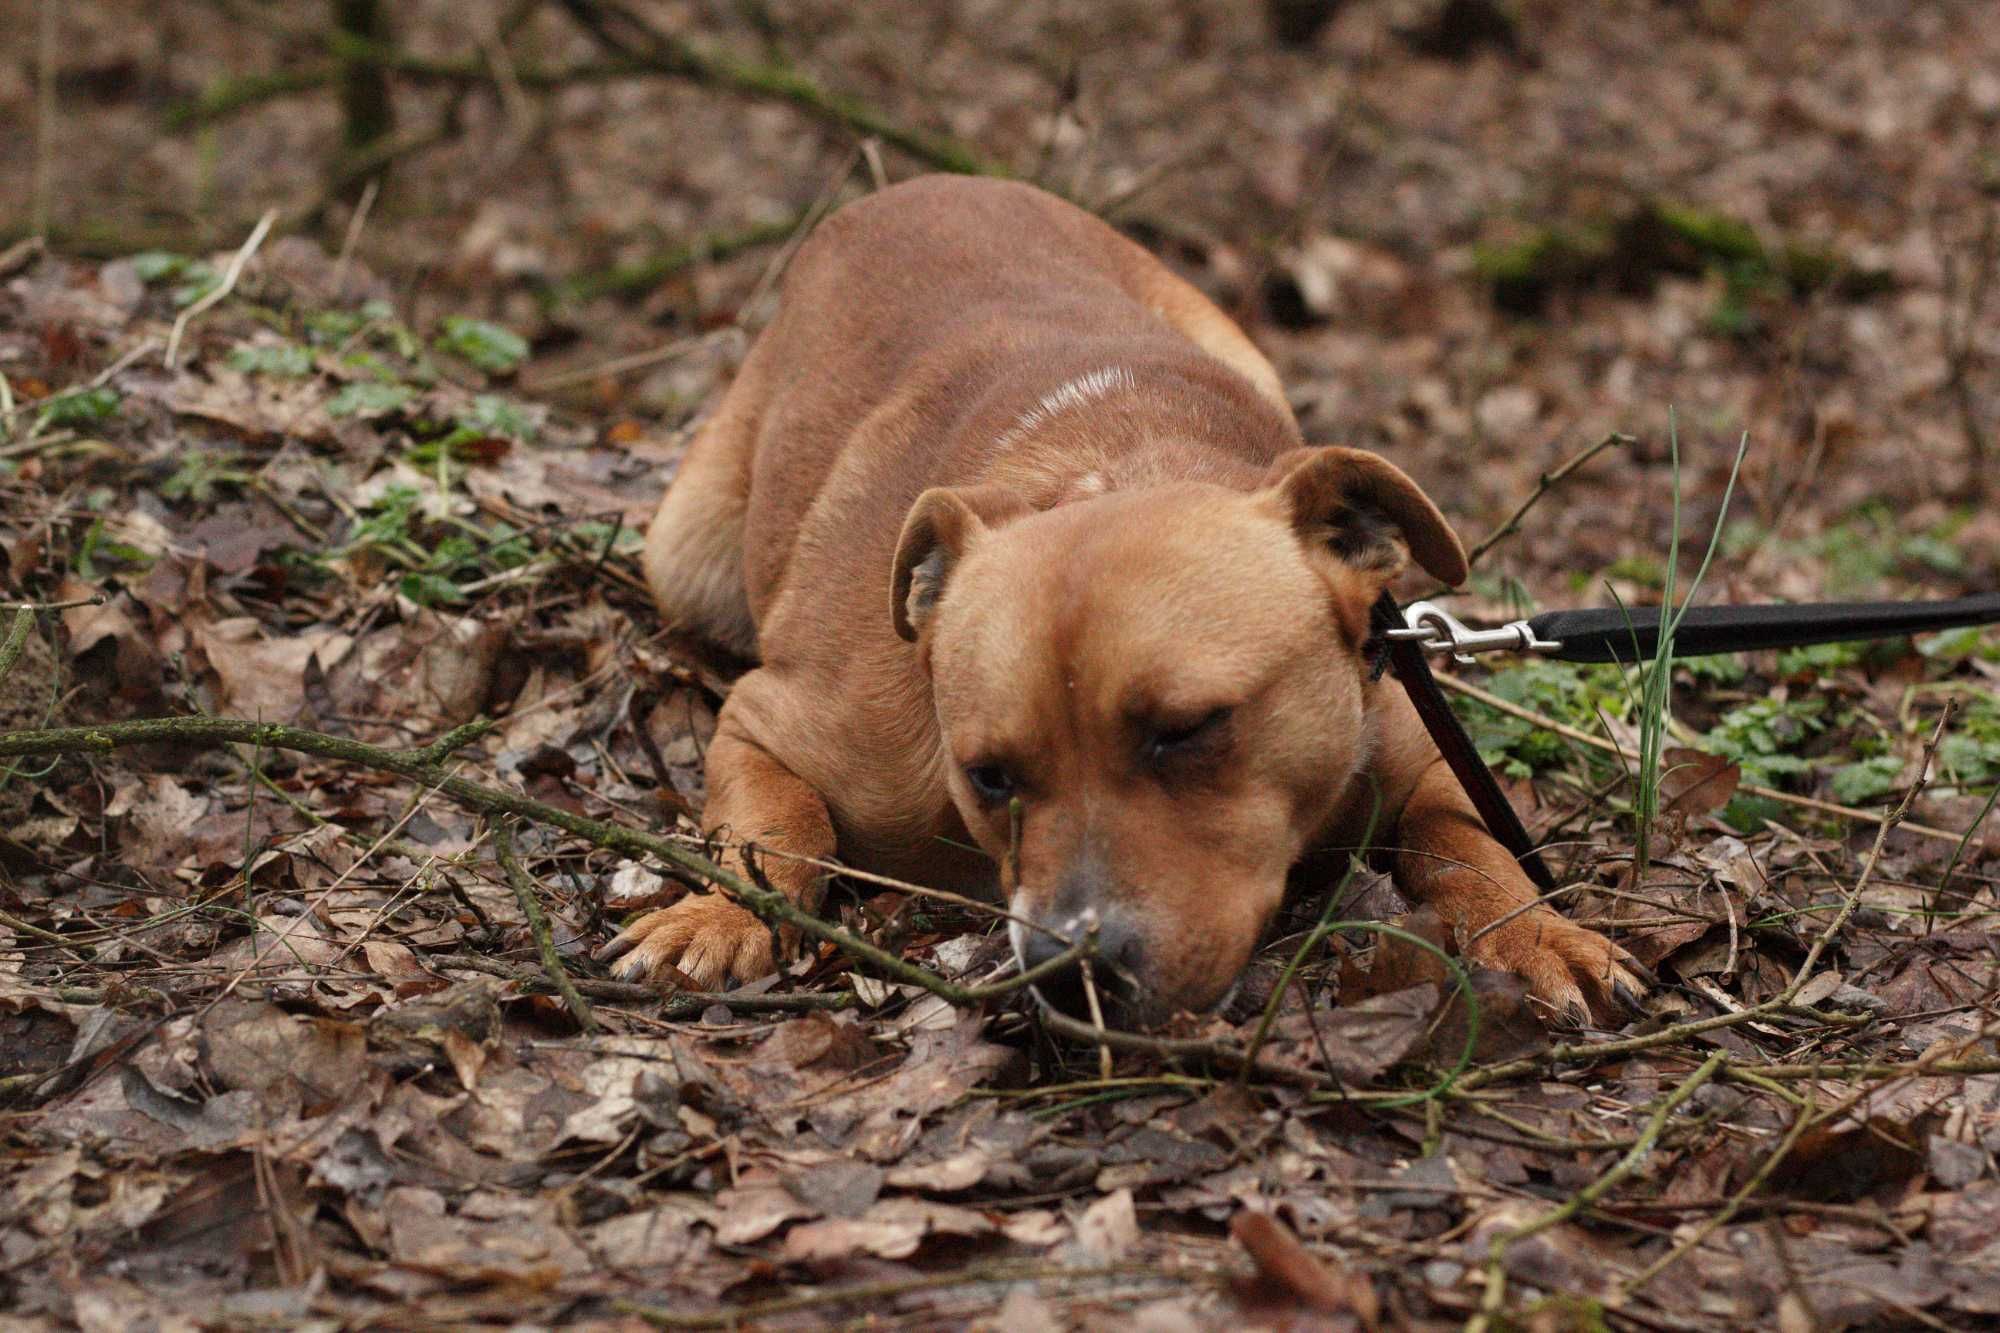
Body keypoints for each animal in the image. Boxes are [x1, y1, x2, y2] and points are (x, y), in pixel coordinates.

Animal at [608, 171, 1640, 1020]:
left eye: (1188, 729)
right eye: (988, 775)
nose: (1076, 969)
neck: (1124, 457)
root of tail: (918, 182)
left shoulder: (1423, 755)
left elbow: (1471, 842)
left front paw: (1532, 928)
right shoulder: (768, 721)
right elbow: (776, 823)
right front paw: (720, 909)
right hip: (686, 550)